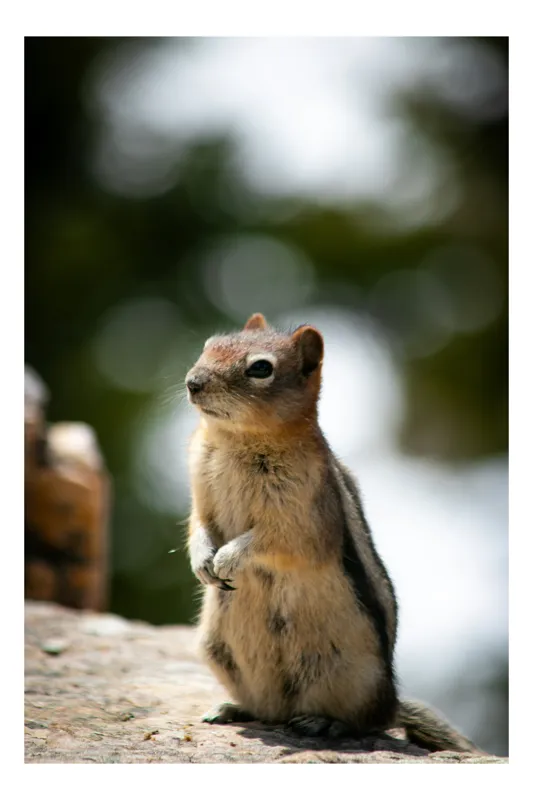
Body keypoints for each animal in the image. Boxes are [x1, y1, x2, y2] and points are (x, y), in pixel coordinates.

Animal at [185, 312, 482, 753]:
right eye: (208, 345)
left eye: (261, 368)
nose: (193, 382)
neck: (237, 439)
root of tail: (391, 702)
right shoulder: (199, 494)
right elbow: (199, 526)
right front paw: (203, 559)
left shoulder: (302, 518)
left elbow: (276, 541)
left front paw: (227, 557)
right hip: (216, 651)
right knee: (269, 710)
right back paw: (234, 709)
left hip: (349, 675)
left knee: (365, 723)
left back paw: (326, 723)